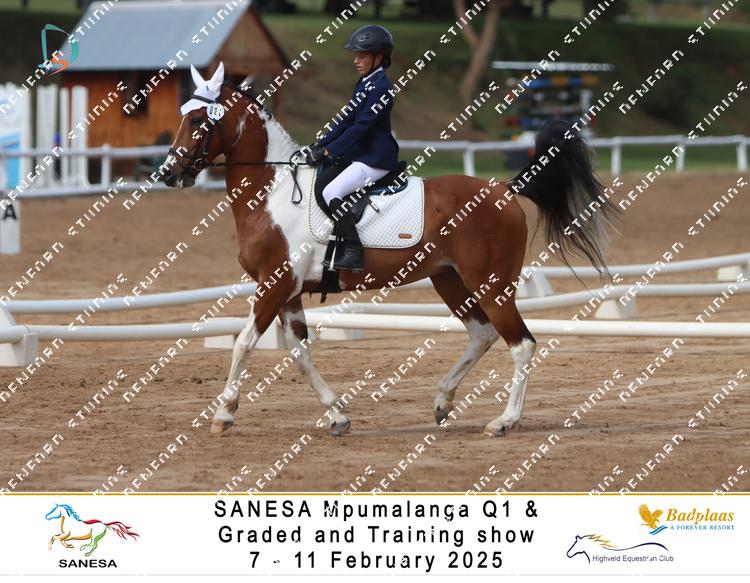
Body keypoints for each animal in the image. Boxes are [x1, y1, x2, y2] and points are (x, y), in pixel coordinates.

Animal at [161, 62, 618, 437]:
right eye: (182, 113)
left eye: (199, 119)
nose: (167, 173)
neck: (272, 194)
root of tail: (503, 190)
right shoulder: (288, 292)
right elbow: (299, 353)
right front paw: (337, 415)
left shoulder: (272, 286)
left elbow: (243, 343)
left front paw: (224, 414)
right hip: (448, 279)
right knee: (482, 333)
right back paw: (443, 400)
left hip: (490, 283)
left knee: (521, 344)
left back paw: (505, 421)